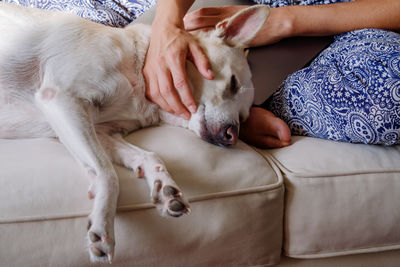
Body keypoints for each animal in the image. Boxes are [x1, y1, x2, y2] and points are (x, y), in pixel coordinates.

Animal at [0, 2, 268, 264]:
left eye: (244, 118)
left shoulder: (103, 133)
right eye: (232, 84)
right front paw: (103, 227)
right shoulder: (62, 99)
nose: (232, 136)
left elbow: (147, 156)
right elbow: (108, 173)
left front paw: (165, 186)